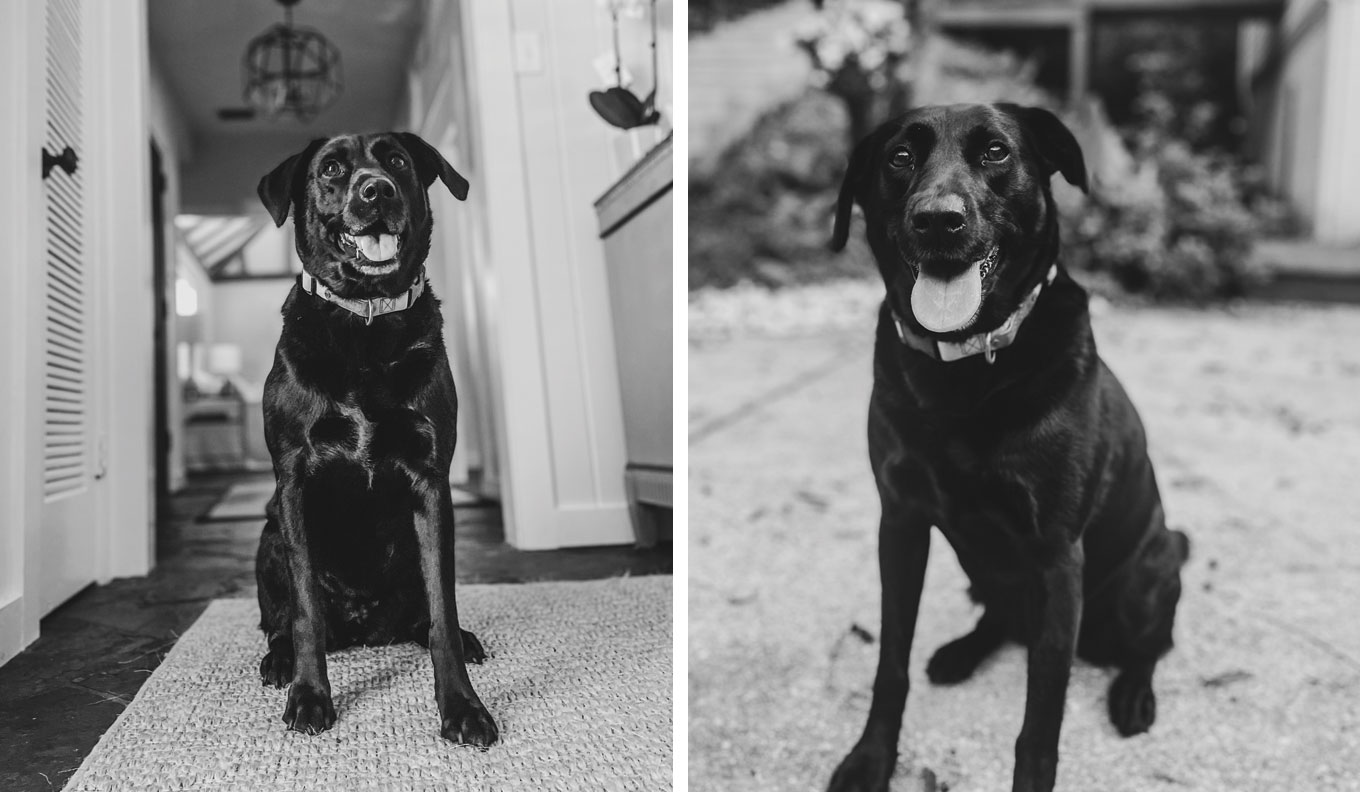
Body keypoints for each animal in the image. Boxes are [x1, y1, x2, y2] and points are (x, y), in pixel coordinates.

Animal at [252, 132, 497, 751]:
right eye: (331, 168)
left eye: (398, 161)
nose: (376, 190)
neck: (365, 315)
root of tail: (366, 630)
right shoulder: (294, 481)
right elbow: (305, 611)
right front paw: (310, 696)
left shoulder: (430, 482)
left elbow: (441, 611)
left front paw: (462, 707)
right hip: (268, 536)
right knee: (280, 621)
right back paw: (279, 659)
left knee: (425, 618)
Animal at [821, 105, 1185, 792]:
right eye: (899, 158)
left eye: (996, 152)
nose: (938, 219)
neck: (967, 363)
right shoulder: (900, 525)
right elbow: (890, 664)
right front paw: (871, 759)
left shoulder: (1058, 558)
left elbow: (1040, 720)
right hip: (980, 568)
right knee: (999, 616)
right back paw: (962, 651)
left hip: (1145, 579)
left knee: (1152, 645)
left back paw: (1133, 693)